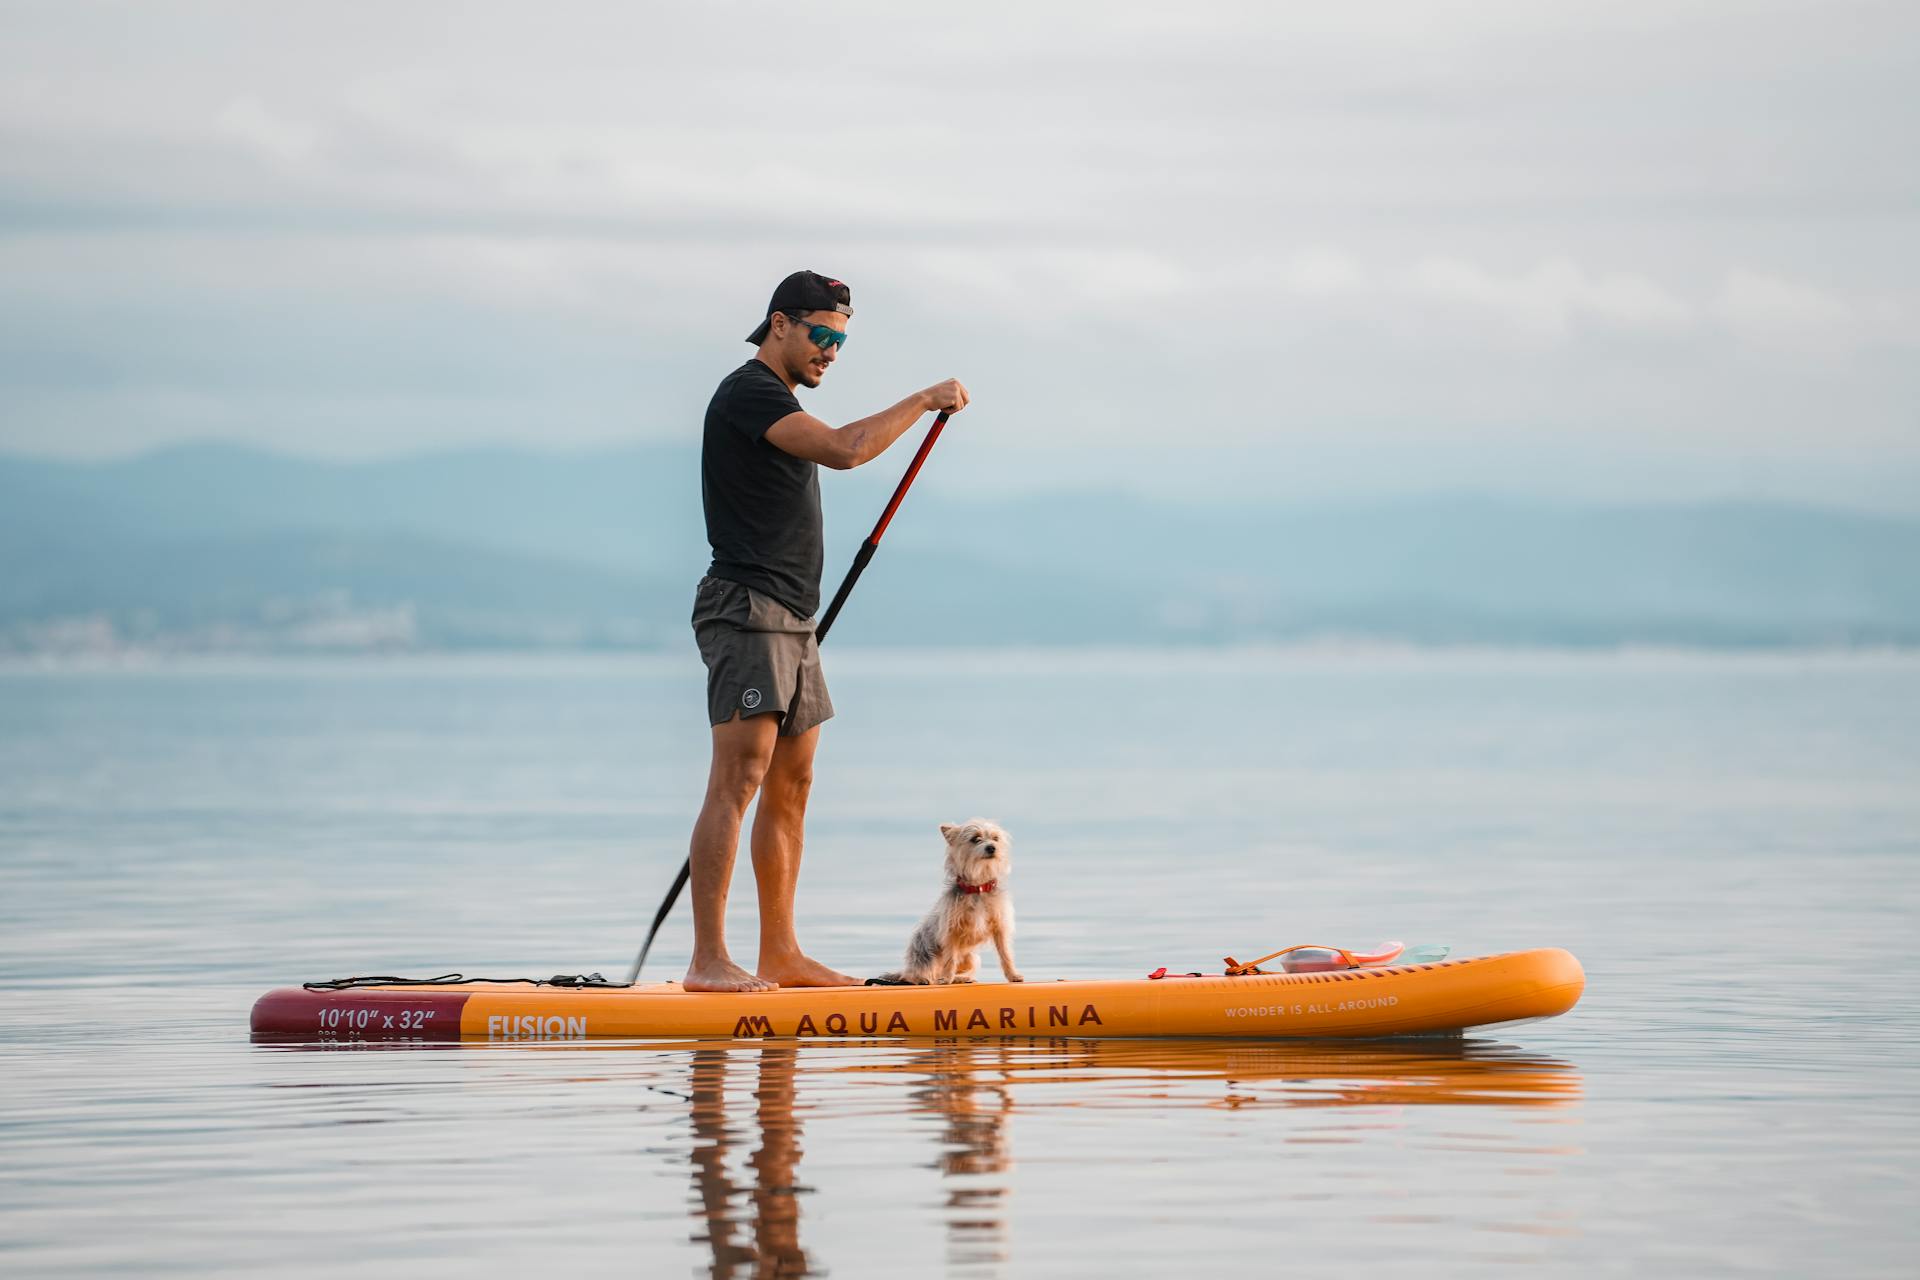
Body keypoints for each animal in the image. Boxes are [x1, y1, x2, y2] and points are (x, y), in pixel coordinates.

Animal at [883, 817, 1029, 990]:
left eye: (995, 838)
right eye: (975, 839)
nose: (992, 847)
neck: (977, 888)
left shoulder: (999, 926)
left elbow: (1005, 953)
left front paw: (1013, 975)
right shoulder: (951, 930)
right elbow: (950, 958)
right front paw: (946, 979)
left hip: (971, 958)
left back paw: (961, 978)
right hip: (925, 953)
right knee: (921, 973)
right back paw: (924, 978)